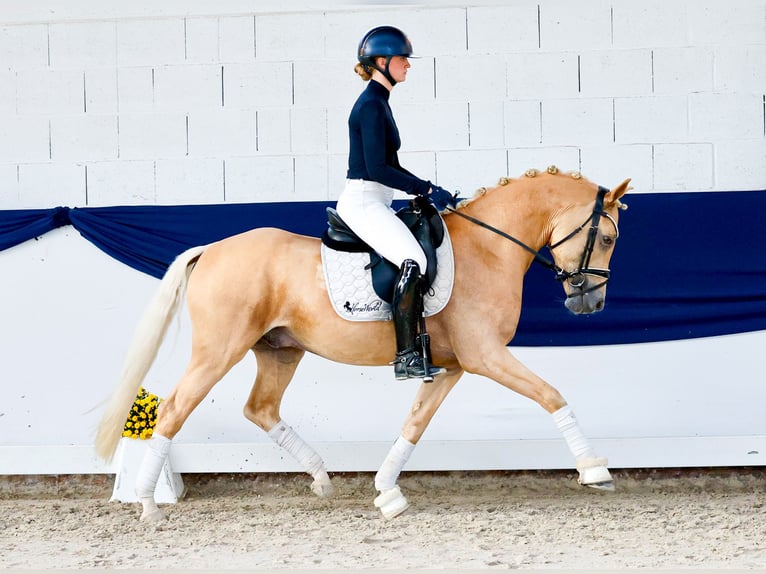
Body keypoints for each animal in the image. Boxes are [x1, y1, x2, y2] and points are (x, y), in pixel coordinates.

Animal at [95, 166, 630, 521]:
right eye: (605, 238)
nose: (591, 303)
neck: (488, 248)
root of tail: (211, 250)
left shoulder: (454, 365)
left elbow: (414, 424)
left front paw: (386, 491)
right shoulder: (486, 356)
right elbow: (551, 395)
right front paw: (593, 470)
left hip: (279, 350)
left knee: (260, 408)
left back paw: (320, 478)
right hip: (218, 351)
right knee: (174, 409)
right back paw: (148, 504)